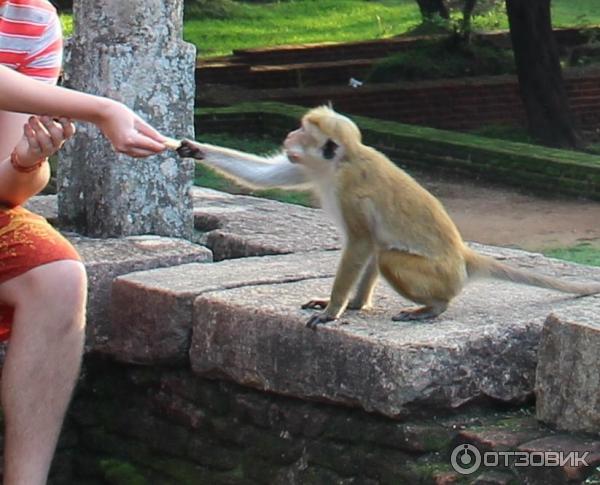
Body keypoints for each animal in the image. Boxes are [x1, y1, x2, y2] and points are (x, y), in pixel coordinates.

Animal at [166, 107, 600, 328]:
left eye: (301, 131)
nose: (288, 136)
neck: (341, 161)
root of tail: (463, 255)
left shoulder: (350, 191)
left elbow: (360, 242)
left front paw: (333, 310)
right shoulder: (315, 169)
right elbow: (267, 175)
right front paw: (194, 149)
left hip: (443, 275)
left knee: (387, 254)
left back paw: (433, 308)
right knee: (382, 249)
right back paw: (364, 303)